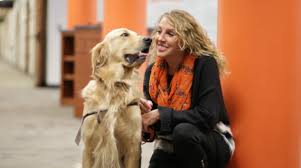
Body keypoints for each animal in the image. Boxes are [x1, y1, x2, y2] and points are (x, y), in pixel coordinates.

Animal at [74, 28, 151, 168]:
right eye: (125, 34)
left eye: (137, 33)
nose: (150, 39)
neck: (115, 85)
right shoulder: (88, 147)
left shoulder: (133, 147)